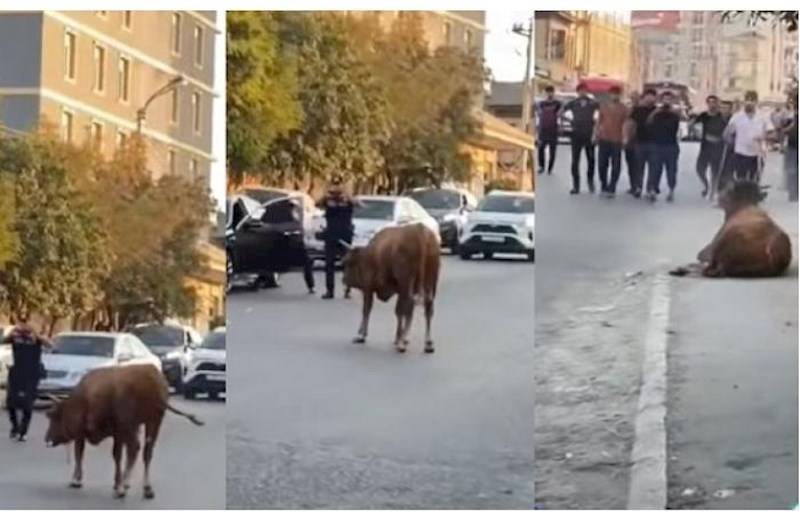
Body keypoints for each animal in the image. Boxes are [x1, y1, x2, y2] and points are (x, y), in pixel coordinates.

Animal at [44, 362, 205, 498]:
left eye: (52, 417)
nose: (47, 439)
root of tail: (149, 376)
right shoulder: (121, 431)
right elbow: (119, 454)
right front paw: (117, 483)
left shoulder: (82, 432)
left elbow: (79, 454)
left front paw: (76, 480)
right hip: (153, 422)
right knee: (146, 452)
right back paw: (144, 487)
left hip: (130, 425)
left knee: (132, 449)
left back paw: (123, 487)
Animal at [342, 222, 440, 352]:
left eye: (346, 262)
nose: (343, 280)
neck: (369, 254)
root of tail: (419, 229)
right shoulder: (400, 291)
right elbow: (399, 311)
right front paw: (398, 338)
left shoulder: (368, 288)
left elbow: (366, 309)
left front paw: (361, 335)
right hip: (430, 282)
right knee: (428, 306)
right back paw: (427, 343)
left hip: (407, 282)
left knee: (410, 305)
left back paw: (402, 344)